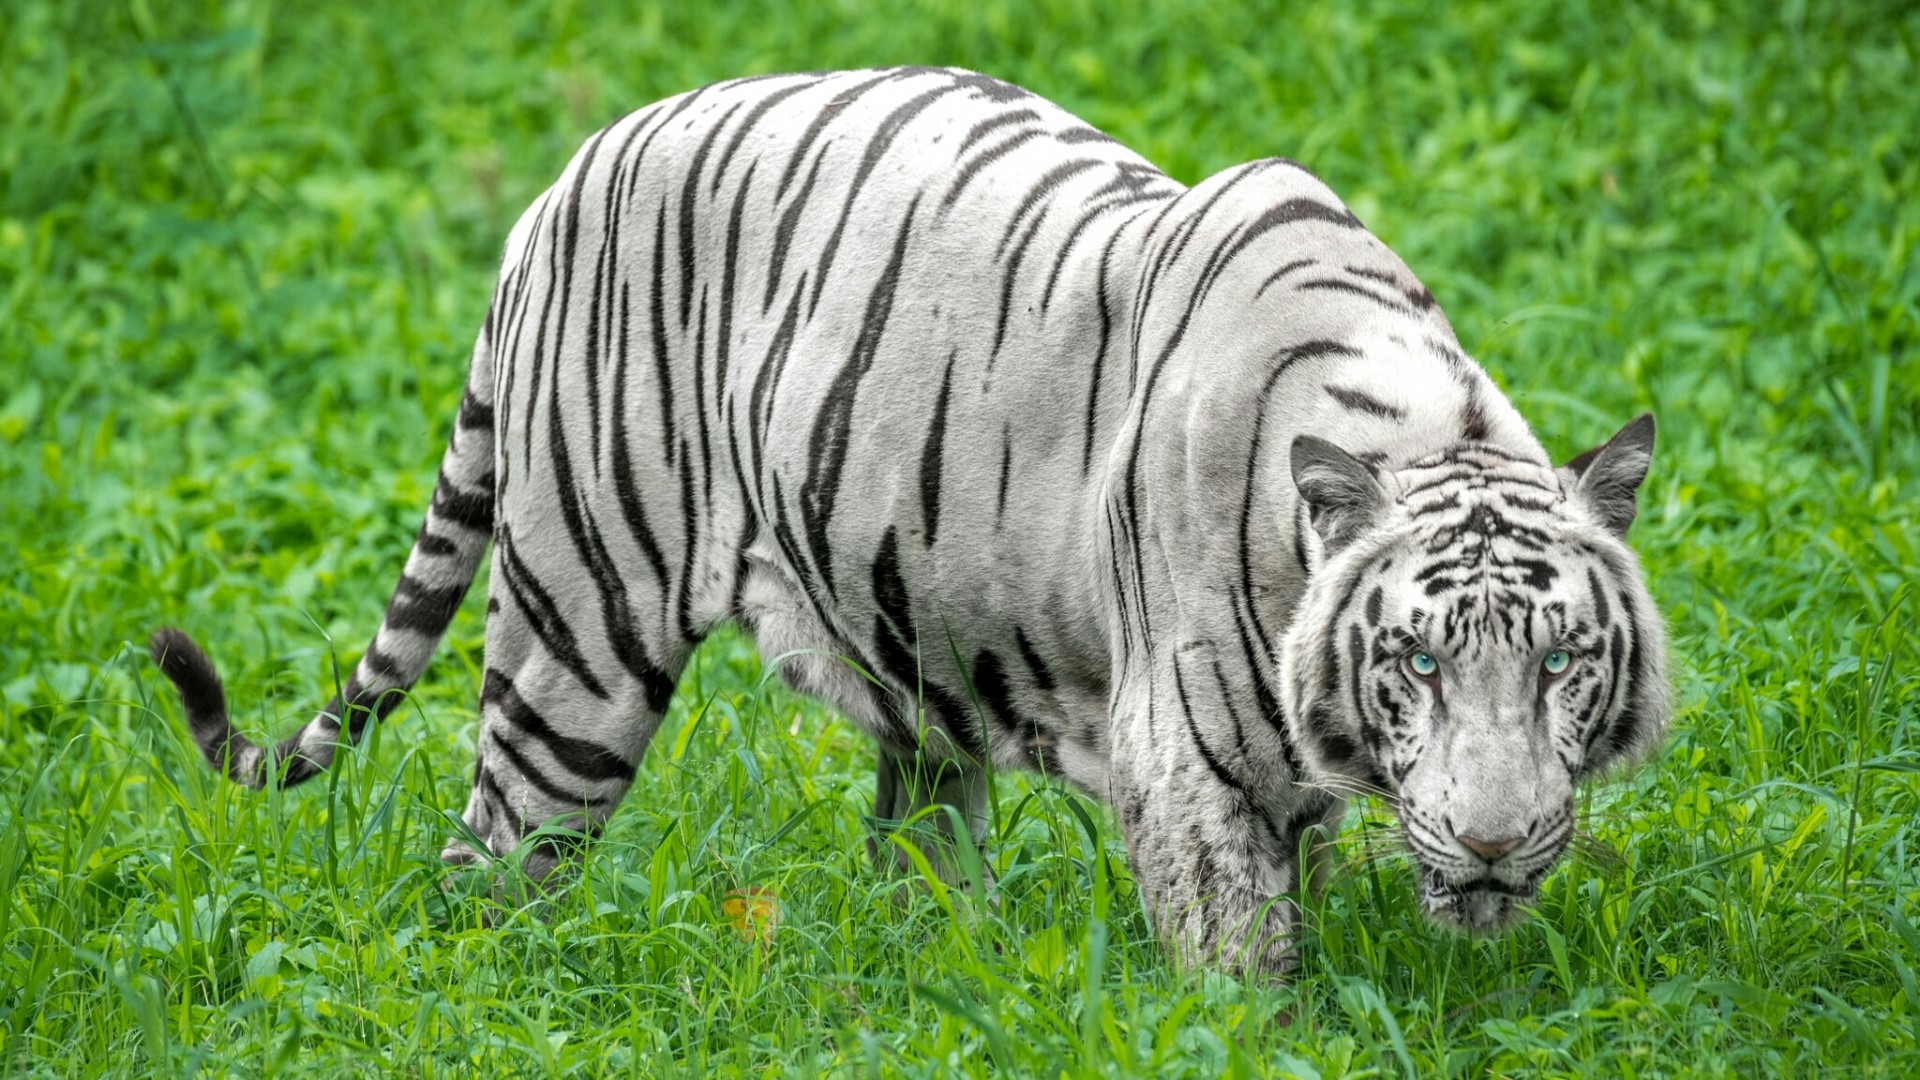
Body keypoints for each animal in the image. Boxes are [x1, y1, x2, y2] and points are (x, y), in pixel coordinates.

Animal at [149, 66, 1671, 978]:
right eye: (1414, 661)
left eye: (1558, 661)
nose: (1493, 842)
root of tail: (561, 177)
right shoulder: (1191, 776)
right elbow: (1250, 974)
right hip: (575, 645)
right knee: (489, 864)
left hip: (918, 674)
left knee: (917, 868)